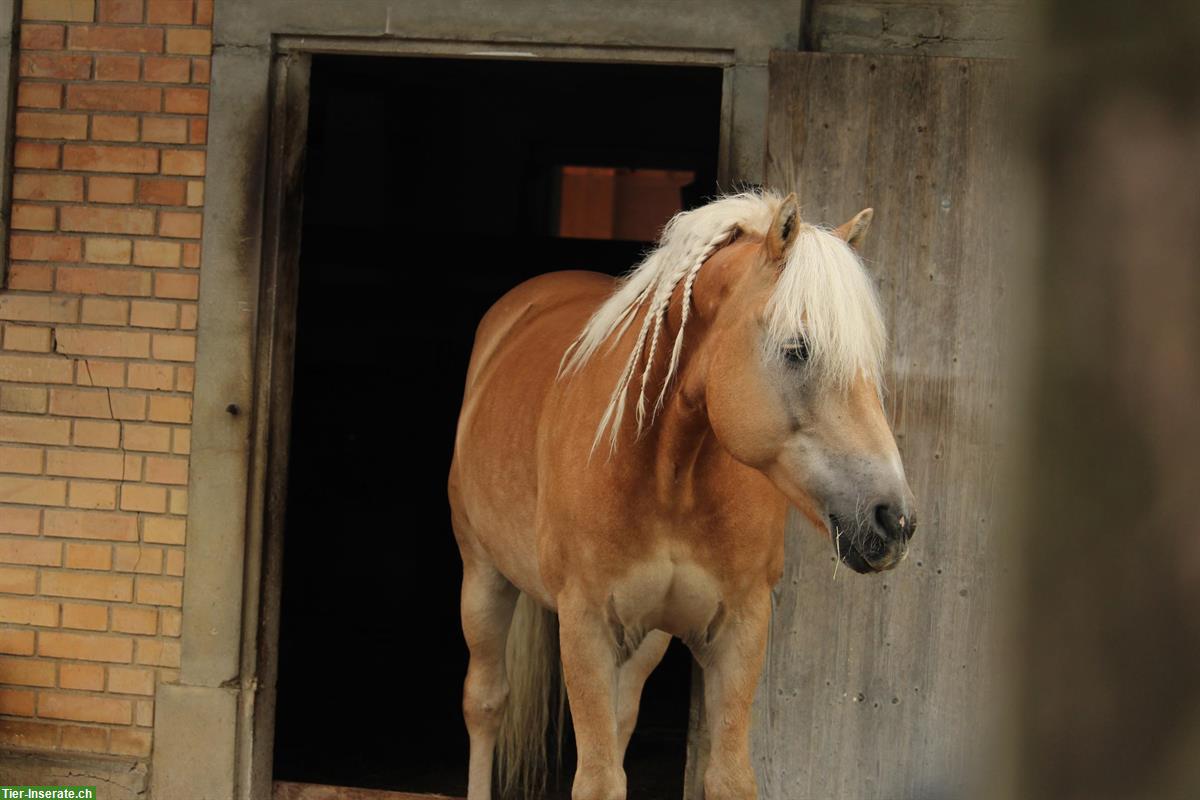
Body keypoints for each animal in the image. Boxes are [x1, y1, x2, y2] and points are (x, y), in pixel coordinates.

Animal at [446, 190, 912, 796]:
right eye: (796, 349)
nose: (893, 520)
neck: (670, 475)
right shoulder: (586, 626)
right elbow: (596, 780)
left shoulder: (739, 628)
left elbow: (727, 777)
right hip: (483, 578)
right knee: (485, 704)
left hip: (644, 638)